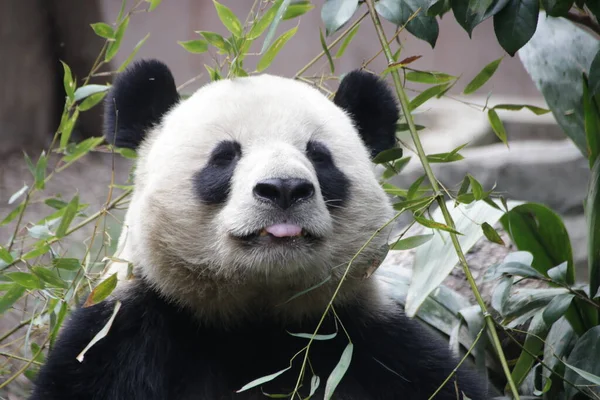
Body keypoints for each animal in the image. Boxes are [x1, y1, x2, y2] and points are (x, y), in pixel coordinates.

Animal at [29, 60, 492, 400]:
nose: (284, 188)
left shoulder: (369, 343)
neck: (256, 318)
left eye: (319, 156)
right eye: (224, 156)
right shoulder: (126, 334)